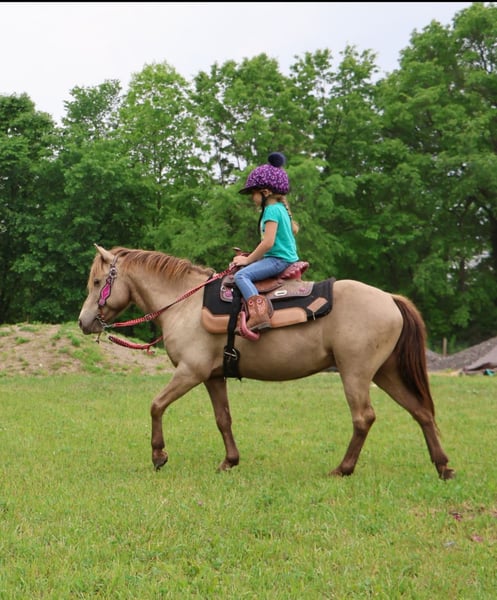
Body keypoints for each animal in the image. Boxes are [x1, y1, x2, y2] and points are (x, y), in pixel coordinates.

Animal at [78, 245, 455, 480]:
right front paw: (229, 462)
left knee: (364, 417)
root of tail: (389, 298)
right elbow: (223, 419)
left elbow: (156, 405)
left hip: (356, 373)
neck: (184, 304)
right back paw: (443, 467)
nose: (84, 322)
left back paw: (343, 469)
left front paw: (159, 456)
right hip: (386, 372)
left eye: (97, 282)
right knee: (421, 412)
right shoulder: (213, 376)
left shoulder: (190, 372)